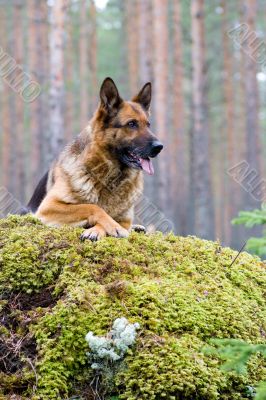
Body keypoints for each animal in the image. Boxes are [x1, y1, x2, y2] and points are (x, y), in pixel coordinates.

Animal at [25, 77, 163, 241]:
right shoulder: (48, 207)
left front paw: (99, 230)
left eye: (148, 125)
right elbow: (92, 206)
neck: (111, 178)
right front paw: (111, 227)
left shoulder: (125, 220)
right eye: (131, 124)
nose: (159, 147)